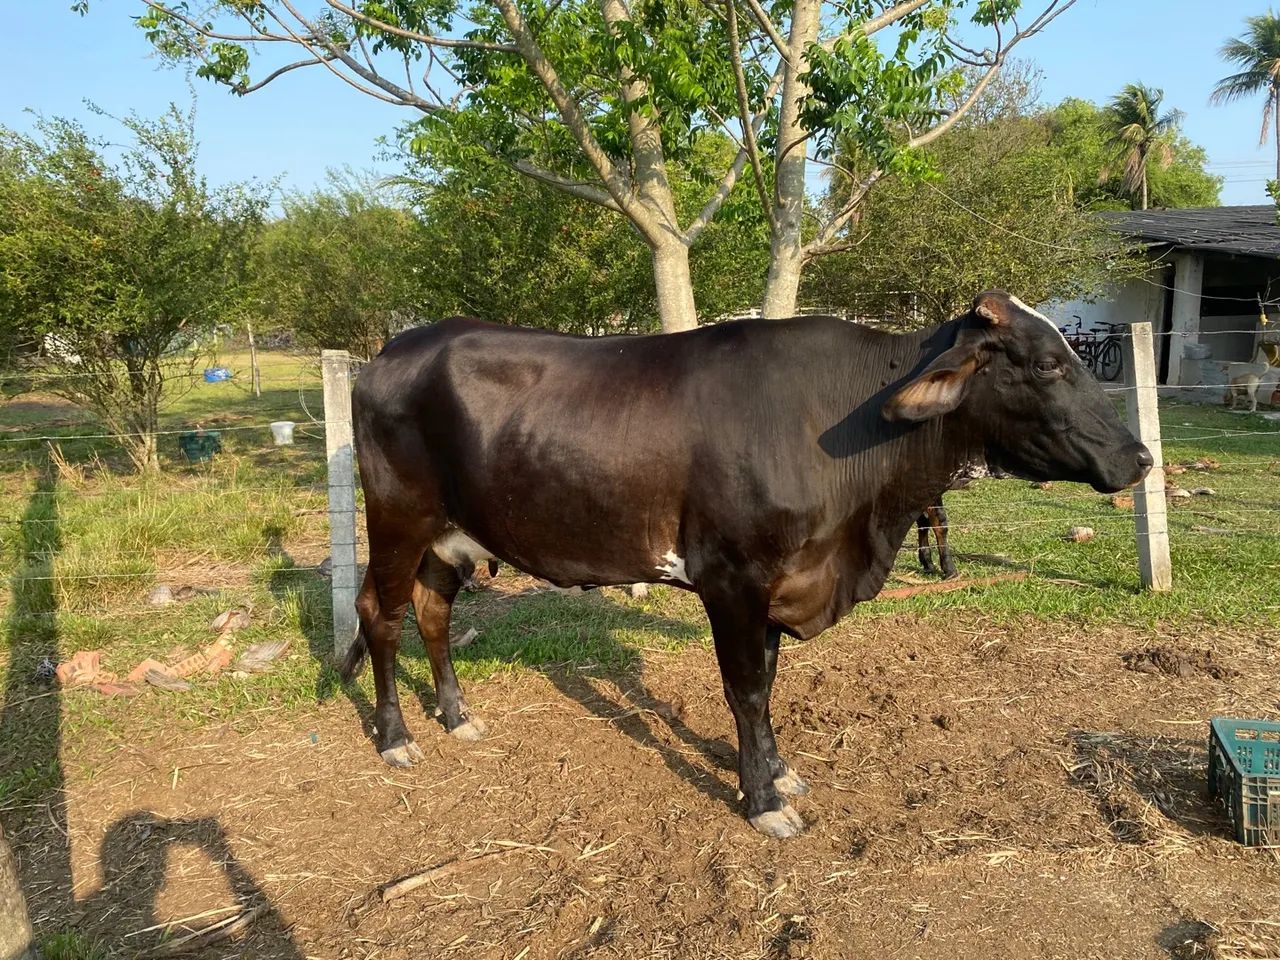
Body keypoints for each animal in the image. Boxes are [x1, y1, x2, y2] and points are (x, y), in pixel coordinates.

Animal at [339, 290, 1152, 839]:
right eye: (1046, 364)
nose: (1140, 456)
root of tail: (390, 351)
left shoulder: (781, 582)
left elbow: (767, 682)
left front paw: (778, 771)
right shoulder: (731, 579)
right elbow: (746, 690)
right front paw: (762, 801)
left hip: (449, 538)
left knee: (433, 612)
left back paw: (457, 717)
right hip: (397, 519)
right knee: (381, 615)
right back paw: (396, 738)